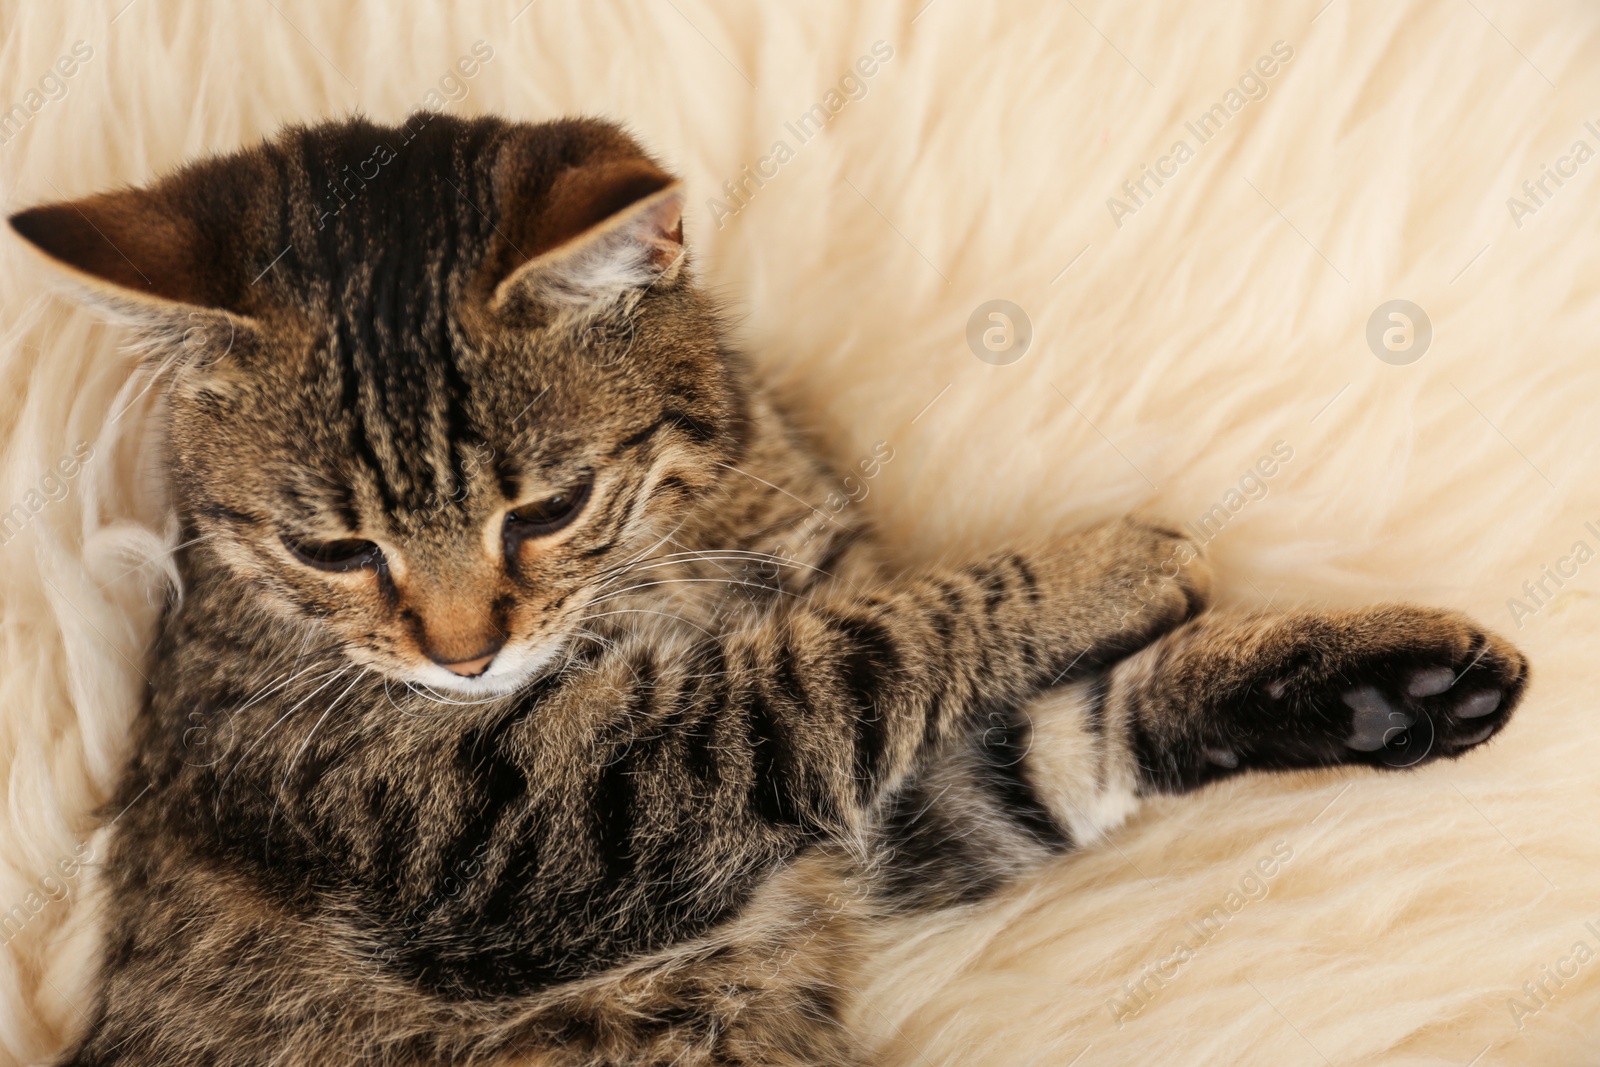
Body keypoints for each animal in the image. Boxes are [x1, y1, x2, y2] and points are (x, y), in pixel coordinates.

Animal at [15, 112, 1536, 1062]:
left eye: (547, 508)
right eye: (333, 550)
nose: (460, 656)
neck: (697, 534)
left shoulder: (872, 825)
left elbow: (1072, 731)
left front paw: (1375, 681)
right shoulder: (533, 819)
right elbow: (843, 652)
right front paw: (1112, 556)